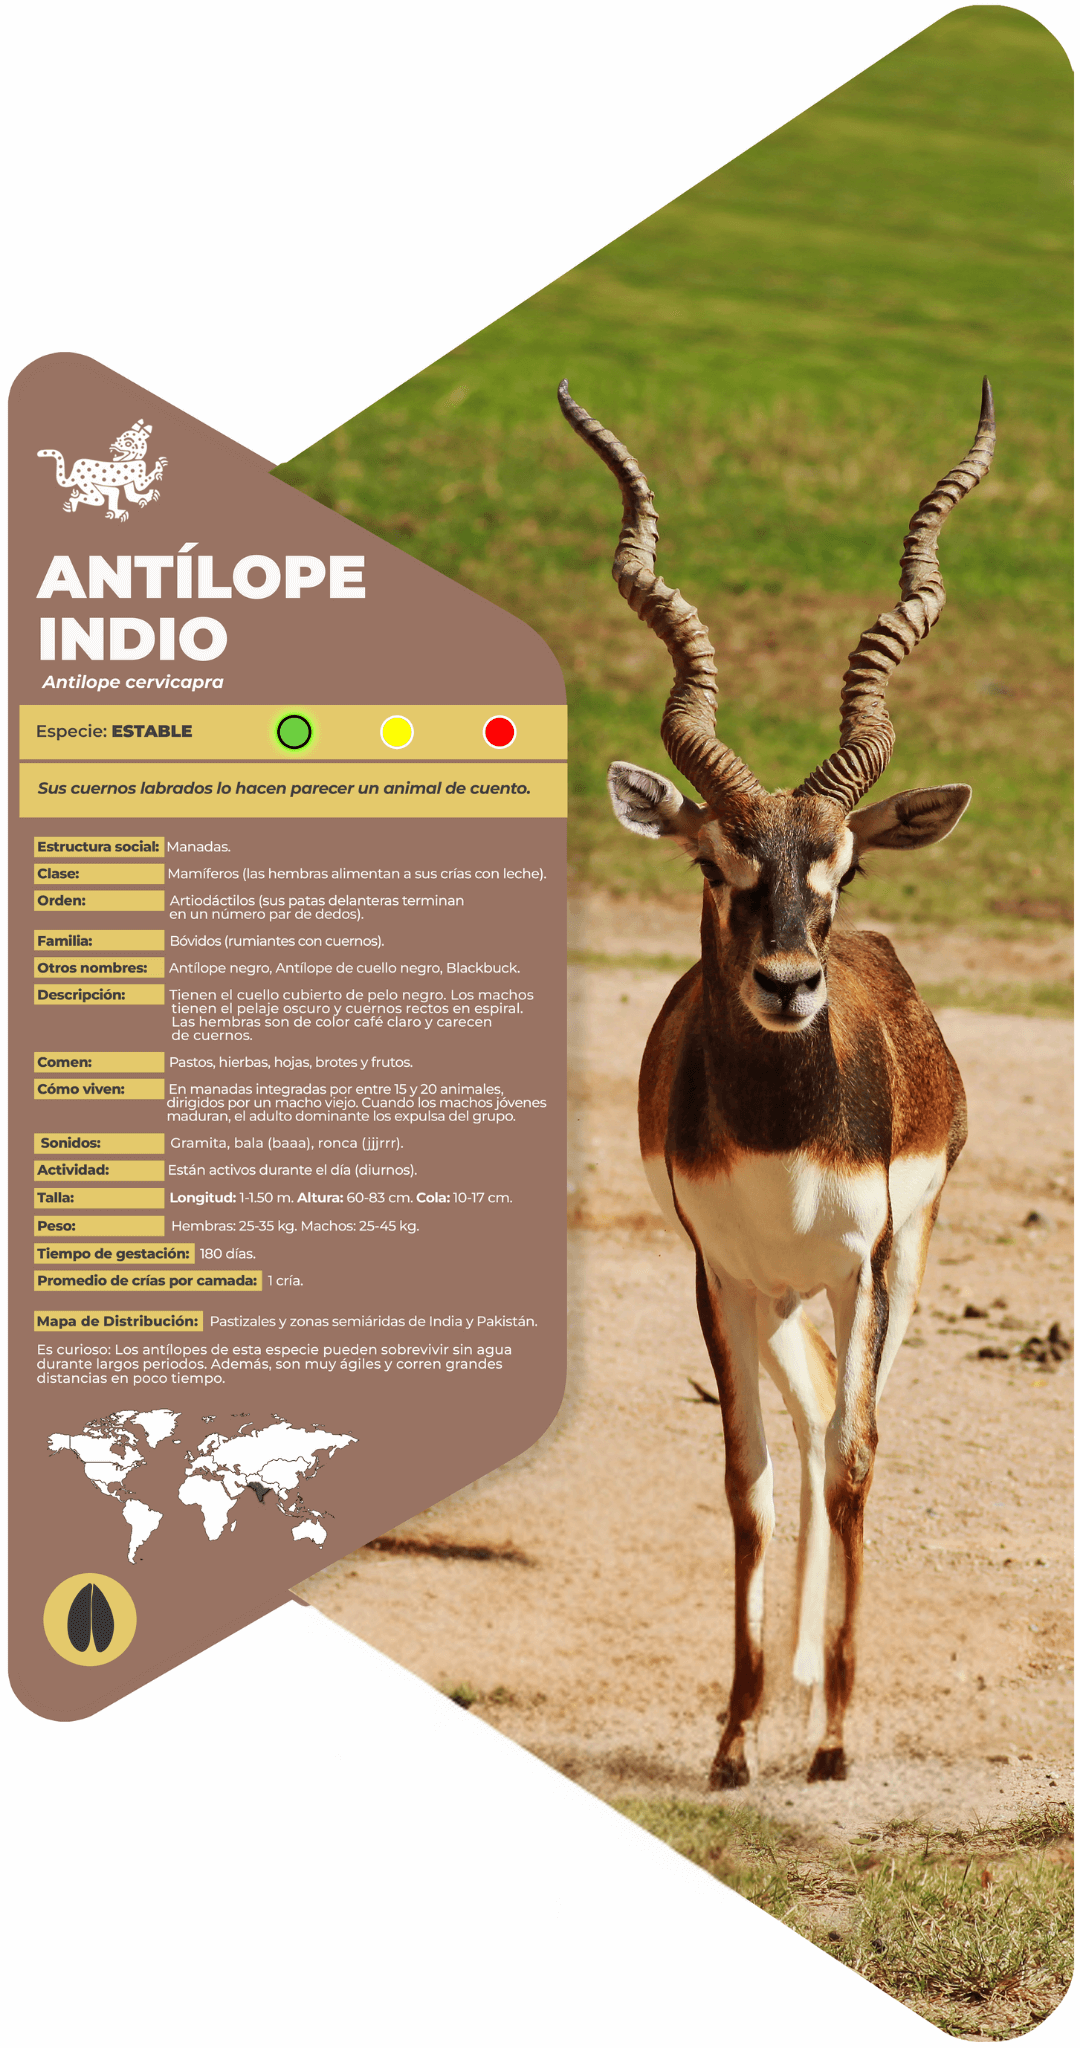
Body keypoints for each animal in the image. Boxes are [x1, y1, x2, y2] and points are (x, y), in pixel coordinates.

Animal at [559, 377, 995, 1785]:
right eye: (717, 862)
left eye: (841, 863)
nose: (793, 982)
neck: (780, 1137)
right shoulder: (723, 1268)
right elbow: (749, 1472)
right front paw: (741, 1729)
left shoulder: (872, 1254)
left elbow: (855, 1456)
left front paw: (839, 1734)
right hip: (789, 1291)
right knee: (800, 1429)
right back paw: (793, 1681)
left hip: (882, 1272)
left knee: (848, 1434)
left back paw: (827, 1694)